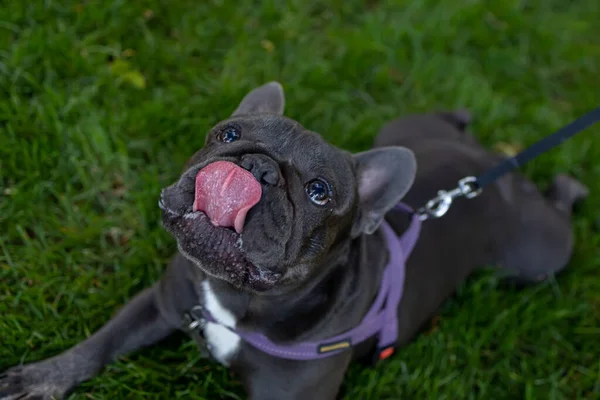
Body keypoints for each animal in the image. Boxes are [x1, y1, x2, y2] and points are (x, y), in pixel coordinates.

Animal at [0, 82, 584, 400]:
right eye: (229, 133)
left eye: (319, 191)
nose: (258, 167)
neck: (239, 300)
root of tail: (491, 162)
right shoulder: (160, 303)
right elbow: (100, 343)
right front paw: (44, 377)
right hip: (405, 127)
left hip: (540, 254)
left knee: (558, 210)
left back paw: (571, 186)